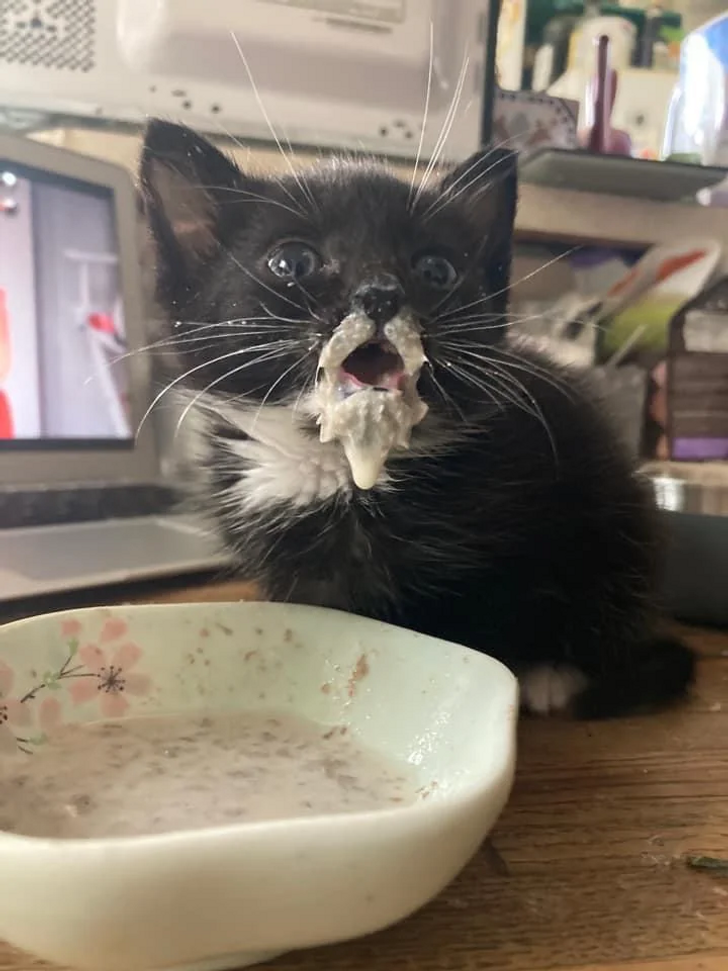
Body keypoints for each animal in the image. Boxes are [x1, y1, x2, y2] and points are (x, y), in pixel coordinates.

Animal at [141, 117, 692, 716]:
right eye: (292, 263)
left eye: (436, 268)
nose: (381, 293)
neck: (340, 469)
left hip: (622, 522)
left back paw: (556, 674)